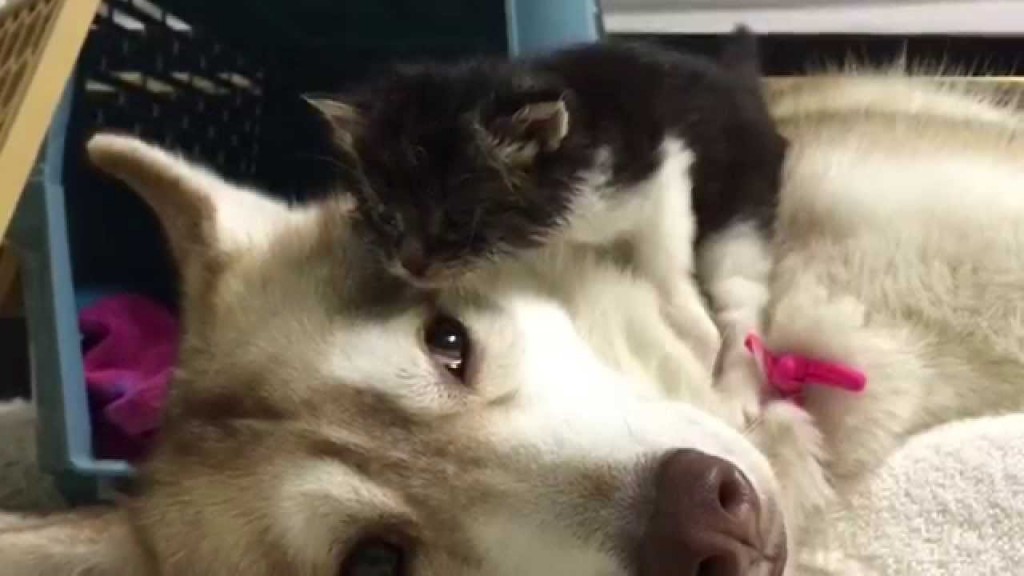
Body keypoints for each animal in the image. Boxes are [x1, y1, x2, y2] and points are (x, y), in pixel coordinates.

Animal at [311, 29, 782, 407]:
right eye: (386, 217)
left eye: (457, 220)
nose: (411, 265)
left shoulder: (660, 166)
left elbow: (664, 258)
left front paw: (696, 340)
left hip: (741, 204)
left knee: (741, 298)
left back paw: (734, 391)